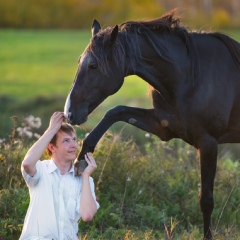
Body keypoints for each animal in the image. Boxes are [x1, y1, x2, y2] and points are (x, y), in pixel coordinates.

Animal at [63, 9, 240, 240]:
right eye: (79, 62)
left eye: (93, 65)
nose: (69, 113)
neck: (191, 77)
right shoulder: (164, 126)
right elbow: (115, 112)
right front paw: (82, 158)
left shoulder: (208, 143)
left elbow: (206, 200)